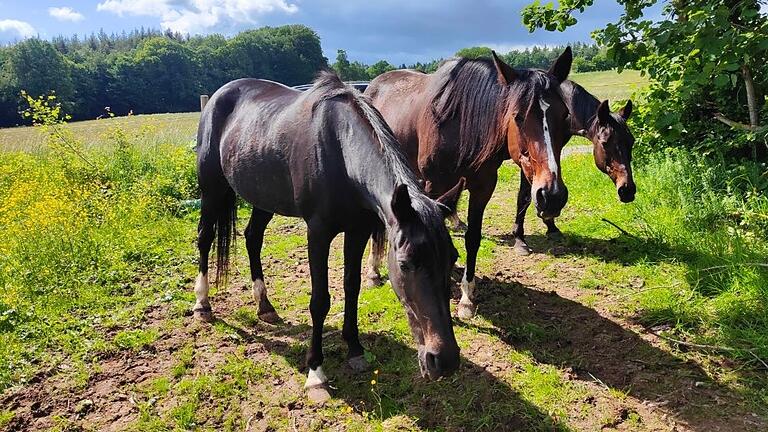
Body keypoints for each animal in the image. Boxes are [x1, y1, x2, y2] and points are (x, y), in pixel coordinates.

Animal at [195, 70, 464, 398]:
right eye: (405, 264)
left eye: (453, 258)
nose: (444, 360)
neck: (340, 151)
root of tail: (217, 97)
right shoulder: (318, 233)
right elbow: (320, 300)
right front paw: (316, 371)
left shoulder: (358, 230)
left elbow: (352, 286)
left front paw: (355, 349)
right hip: (211, 190)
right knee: (205, 239)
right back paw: (202, 304)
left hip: (263, 197)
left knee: (253, 237)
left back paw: (265, 306)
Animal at [366, 49, 576, 318]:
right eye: (518, 116)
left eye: (564, 115)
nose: (551, 196)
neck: (461, 127)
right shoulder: (433, 186)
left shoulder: (482, 188)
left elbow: (473, 238)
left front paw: (467, 298)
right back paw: (373, 272)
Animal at [510, 79, 636, 255]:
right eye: (605, 143)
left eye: (632, 141)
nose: (627, 190)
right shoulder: (525, 160)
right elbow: (524, 197)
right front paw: (519, 239)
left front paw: (551, 226)